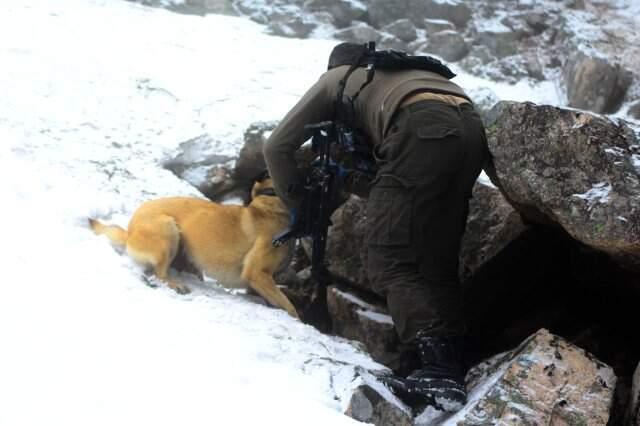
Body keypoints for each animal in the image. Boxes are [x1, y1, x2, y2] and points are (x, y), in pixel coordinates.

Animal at [87, 175, 298, 318]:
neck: (271, 204)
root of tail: (130, 232)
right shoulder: (257, 274)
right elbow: (291, 308)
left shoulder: (258, 282)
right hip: (168, 230)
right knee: (159, 274)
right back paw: (176, 284)